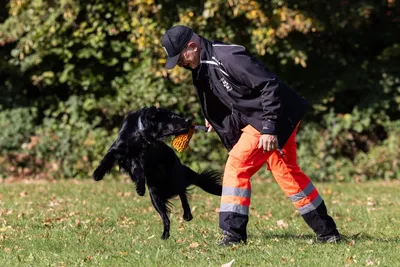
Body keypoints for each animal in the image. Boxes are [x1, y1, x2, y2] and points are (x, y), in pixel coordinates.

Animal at [92, 108, 222, 240]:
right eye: (171, 116)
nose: (189, 120)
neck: (140, 133)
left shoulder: (140, 159)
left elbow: (139, 170)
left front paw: (140, 188)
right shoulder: (118, 149)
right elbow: (107, 158)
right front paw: (97, 174)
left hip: (174, 178)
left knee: (182, 193)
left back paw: (187, 215)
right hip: (155, 195)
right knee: (166, 217)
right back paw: (165, 235)